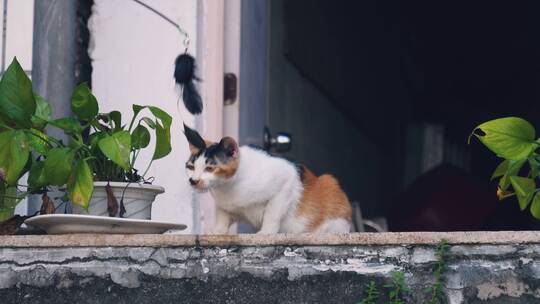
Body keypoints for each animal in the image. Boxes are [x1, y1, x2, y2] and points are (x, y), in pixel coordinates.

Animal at [184, 124, 352, 234]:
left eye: (210, 168)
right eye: (190, 167)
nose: (193, 180)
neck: (228, 188)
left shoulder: (287, 179)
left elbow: (272, 213)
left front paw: (266, 233)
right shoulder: (225, 206)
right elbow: (222, 217)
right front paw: (217, 232)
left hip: (328, 182)